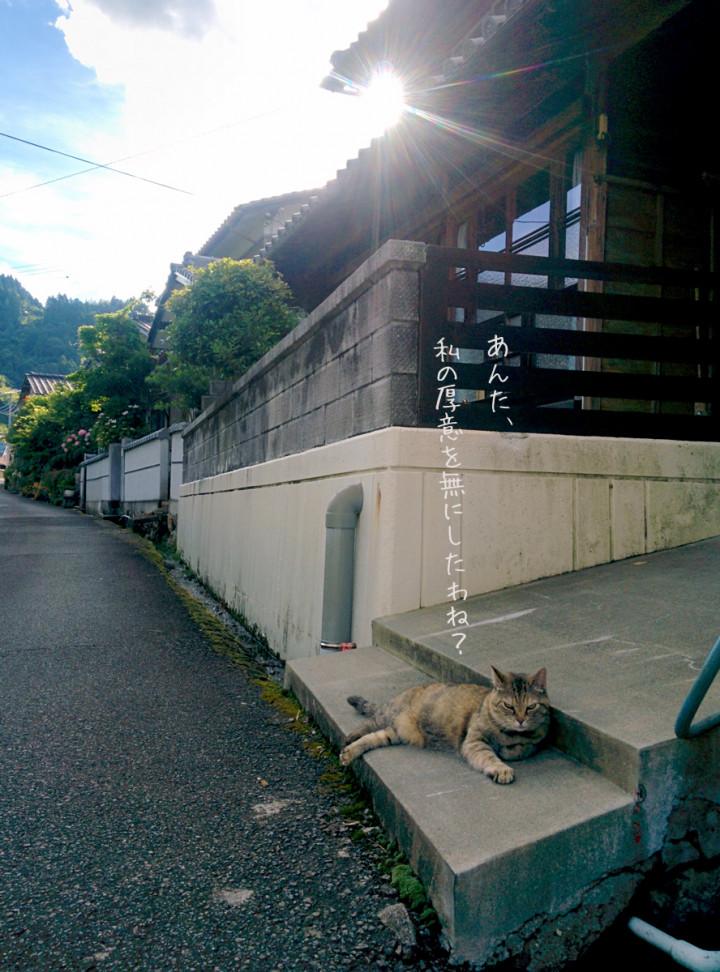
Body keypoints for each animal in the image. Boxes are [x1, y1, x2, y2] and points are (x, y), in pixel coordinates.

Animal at [339, 666, 549, 784]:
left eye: (531, 707)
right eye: (508, 706)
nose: (520, 720)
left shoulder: (535, 742)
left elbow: (522, 749)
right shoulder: (474, 742)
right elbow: (490, 756)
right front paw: (501, 769)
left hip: (395, 733)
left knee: (372, 737)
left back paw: (348, 753)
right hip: (386, 716)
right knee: (368, 723)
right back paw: (349, 738)